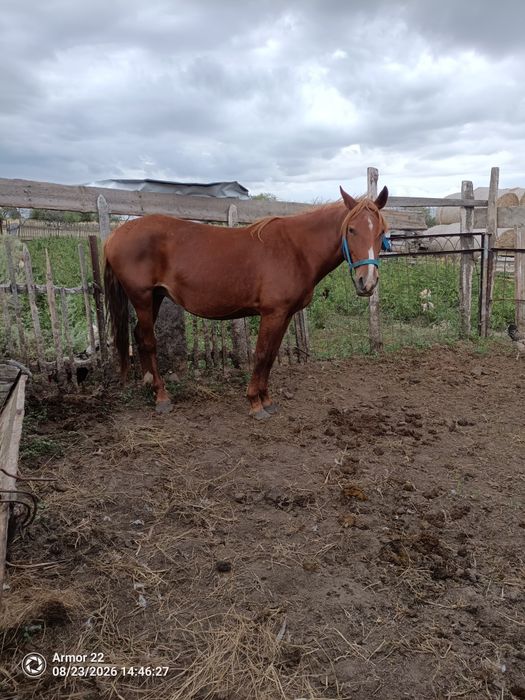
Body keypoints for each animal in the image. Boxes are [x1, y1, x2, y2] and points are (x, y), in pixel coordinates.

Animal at [104, 185, 389, 418]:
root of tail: (115, 235)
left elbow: (271, 355)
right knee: (148, 341)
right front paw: (255, 402)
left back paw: (149, 384)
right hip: (141, 297)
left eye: (381, 233)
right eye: (351, 229)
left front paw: (267, 399)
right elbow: (261, 354)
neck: (296, 249)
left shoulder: (285, 314)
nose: (367, 282)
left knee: (139, 336)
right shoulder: (272, 313)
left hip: (155, 297)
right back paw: (161, 396)